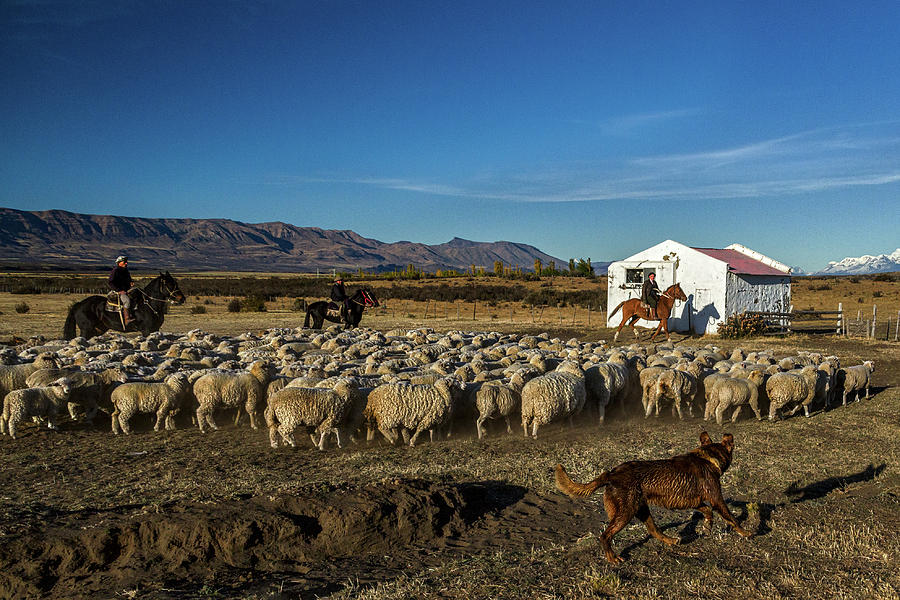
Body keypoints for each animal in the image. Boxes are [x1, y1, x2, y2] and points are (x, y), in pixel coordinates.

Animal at [556, 432, 752, 564]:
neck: (708, 457)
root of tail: (610, 474)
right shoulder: (717, 499)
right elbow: (731, 518)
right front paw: (746, 533)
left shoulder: (694, 501)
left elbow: (707, 511)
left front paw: (707, 526)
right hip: (626, 512)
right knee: (605, 535)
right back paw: (612, 558)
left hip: (641, 509)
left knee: (653, 530)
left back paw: (671, 541)